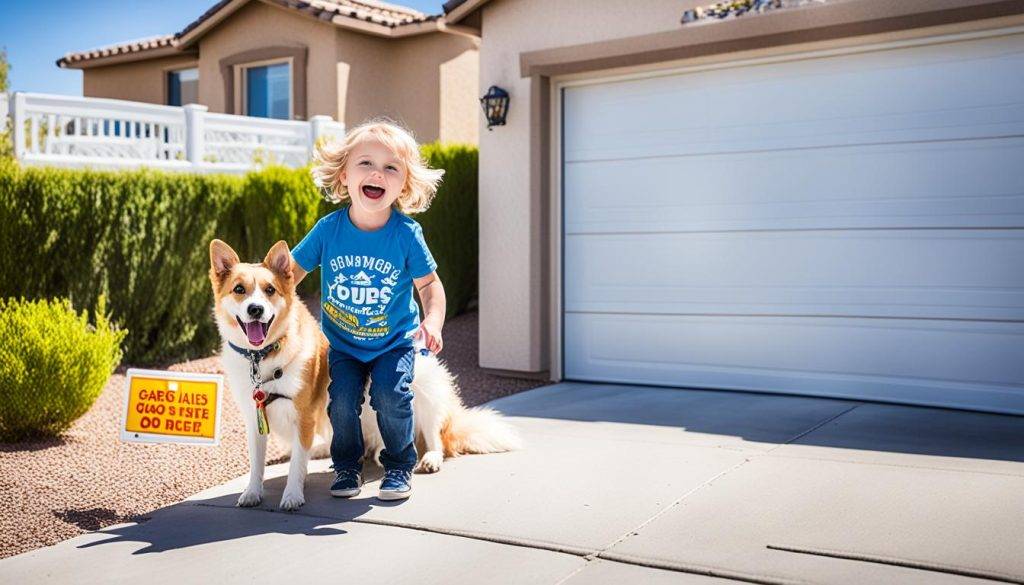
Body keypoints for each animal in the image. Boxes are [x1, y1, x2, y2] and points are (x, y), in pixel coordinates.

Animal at [210, 240, 524, 510]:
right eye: (239, 289)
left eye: (269, 290)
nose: (255, 309)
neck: (264, 355)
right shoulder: (255, 417)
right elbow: (257, 464)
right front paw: (252, 493)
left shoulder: (304, 414)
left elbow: (297, 464)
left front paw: (292, 496)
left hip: (424, 388)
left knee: (435, 437)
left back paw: (428, 458)